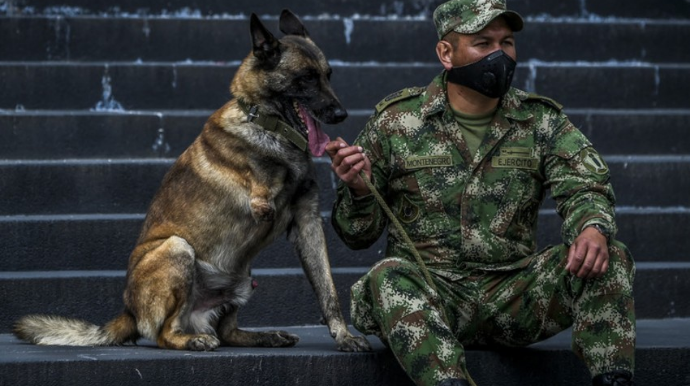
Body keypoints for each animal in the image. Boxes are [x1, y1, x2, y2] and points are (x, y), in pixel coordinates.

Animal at [13, 9, 370, 352]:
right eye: (306, 78)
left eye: (328, 75)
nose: (341, 115)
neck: (266, 124)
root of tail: (129, 313)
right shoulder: (263, 205)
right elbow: (267, 188)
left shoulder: (307, 222)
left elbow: (327, 289)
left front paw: (343, 336)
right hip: (177, 248)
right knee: (165, 334)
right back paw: (193, 340)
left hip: (242, 279)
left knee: (228, 332)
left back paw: (266, 336)